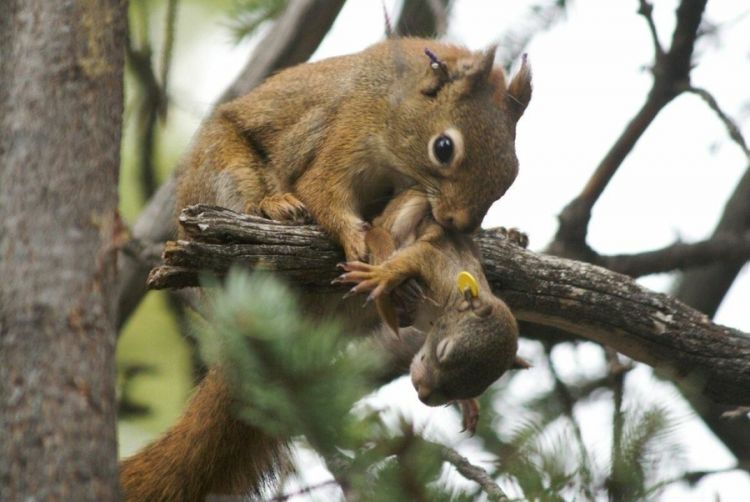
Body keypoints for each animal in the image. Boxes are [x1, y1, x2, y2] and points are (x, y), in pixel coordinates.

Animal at [175, 37, 536, 260]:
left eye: (513, 173)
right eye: (443, 148)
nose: (458, 223)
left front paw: (500, 232)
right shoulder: (350, 131)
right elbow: (320, 189)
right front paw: (356, 238)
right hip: (224, 170)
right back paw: (275, 206)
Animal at [338, 188, 532, 432]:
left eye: (474, 387)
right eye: (443, 351)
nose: (424, 394)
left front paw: (468, 402)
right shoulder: (439, 266)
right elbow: (417, 255)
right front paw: (380, 275)